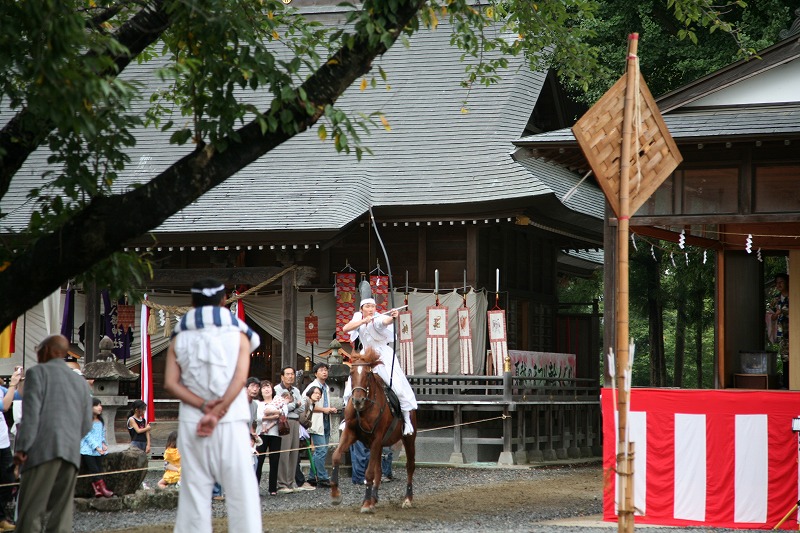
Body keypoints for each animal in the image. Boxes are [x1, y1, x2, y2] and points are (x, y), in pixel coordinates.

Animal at [330, 344, 418, 512]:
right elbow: (336, 456)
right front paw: (335, 494)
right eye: (351, 373)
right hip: (377, 444)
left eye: (367, 374)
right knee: (379, 470)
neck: (364, 409)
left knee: (410, 466)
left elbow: (369, 472)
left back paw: (408, 499)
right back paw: (374, 498)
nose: (357, 400)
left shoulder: (377, 437)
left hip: (408, 438)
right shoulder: (350, 433)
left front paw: (365, 503)